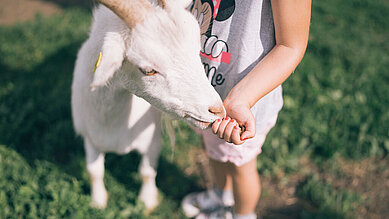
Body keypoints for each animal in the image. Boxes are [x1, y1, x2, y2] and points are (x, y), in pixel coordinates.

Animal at [70, 0, 224, 210]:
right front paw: (98, 201)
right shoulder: (90, 137)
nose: (217, 110)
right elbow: (94, 171)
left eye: (196, 50)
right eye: (149, 70)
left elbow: (146, 171)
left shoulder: (152, 139)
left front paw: (147, 201)